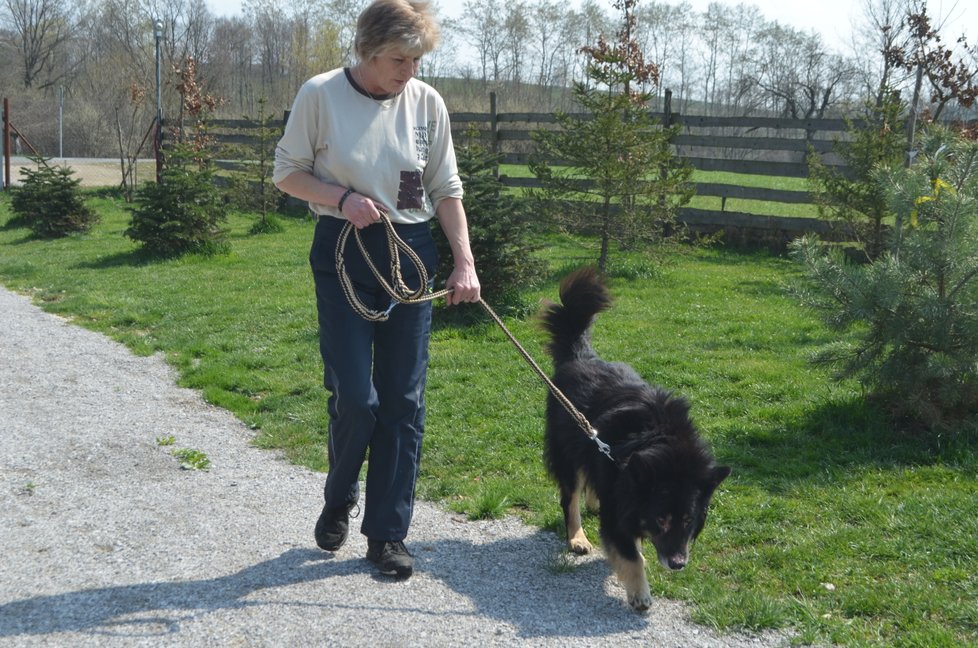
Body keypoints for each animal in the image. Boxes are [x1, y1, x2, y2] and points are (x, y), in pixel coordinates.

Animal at [536, 266, 728, 612]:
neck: (663, 444)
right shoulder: (619, 505)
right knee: (570, 497)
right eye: (661, 519)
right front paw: (640, 593)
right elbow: (629, 554)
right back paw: (577, 537)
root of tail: (579, 356)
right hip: (567, 452)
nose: (678, 564)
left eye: (688, 520)